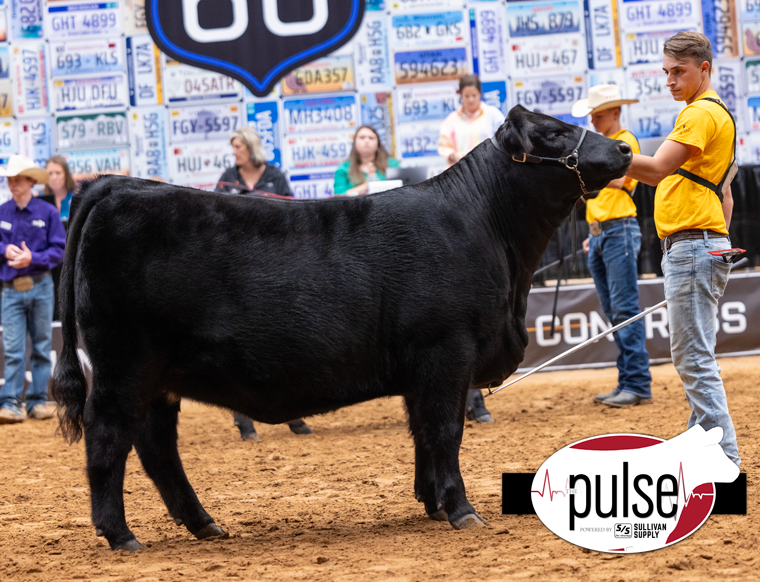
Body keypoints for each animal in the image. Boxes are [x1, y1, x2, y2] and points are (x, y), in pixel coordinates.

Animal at [53, 106, 632, 552]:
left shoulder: (423, 367)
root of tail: (116, 185)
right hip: (123, 366)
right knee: (108, 438)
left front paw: (431, 503)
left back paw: (204, 524)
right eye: (553, 132)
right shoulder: (447, 350)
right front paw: (462, 510)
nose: (626, 151)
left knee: (157, 448)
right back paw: (121, 534)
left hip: (158, 377)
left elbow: (423, 432)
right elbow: (446, 430)